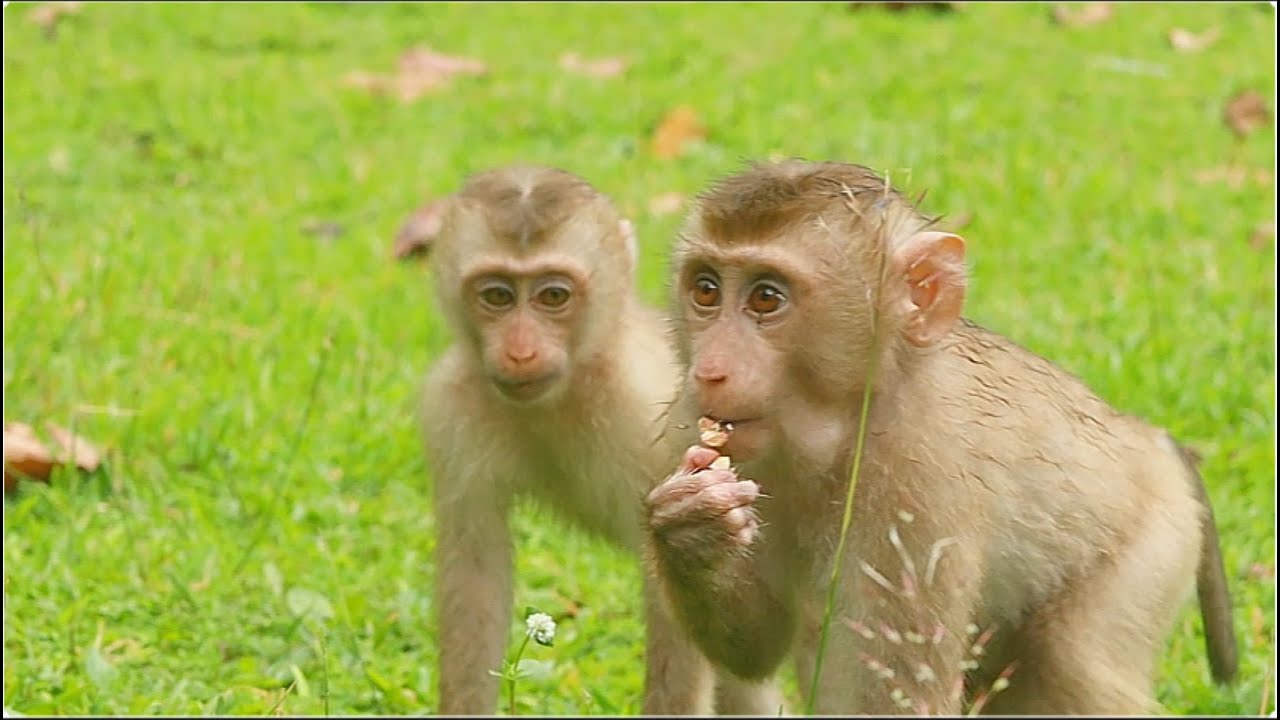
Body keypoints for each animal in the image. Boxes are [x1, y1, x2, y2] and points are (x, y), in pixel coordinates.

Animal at [418, 165, 786, 715]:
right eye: (497, 296)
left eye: (553, 296)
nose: (521, 352)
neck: (574, 383)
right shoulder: (449, 408)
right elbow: (475, 573)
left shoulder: (655, 407)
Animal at [643, 159, 1239, 715]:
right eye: (706, 290)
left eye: (766, 298)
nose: (710, 370)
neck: (845, 426)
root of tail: (1151, 440)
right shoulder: (685, 428)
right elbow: (756, 645)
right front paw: (692, 532)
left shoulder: (915, 488)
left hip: (1153, 543)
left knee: (1075, 661)